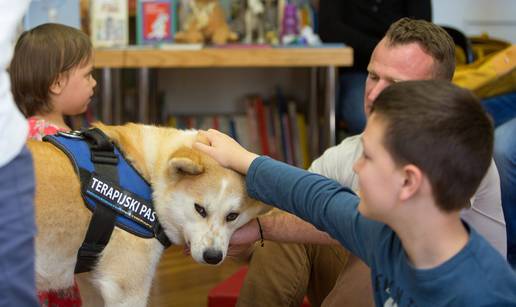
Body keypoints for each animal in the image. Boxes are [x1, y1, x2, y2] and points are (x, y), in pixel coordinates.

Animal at [28, 123, 270, 307]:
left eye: (232, 216)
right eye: (199, 209)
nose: (213, 256)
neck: (148, 175)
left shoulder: (92, 286)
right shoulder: (126, 292)